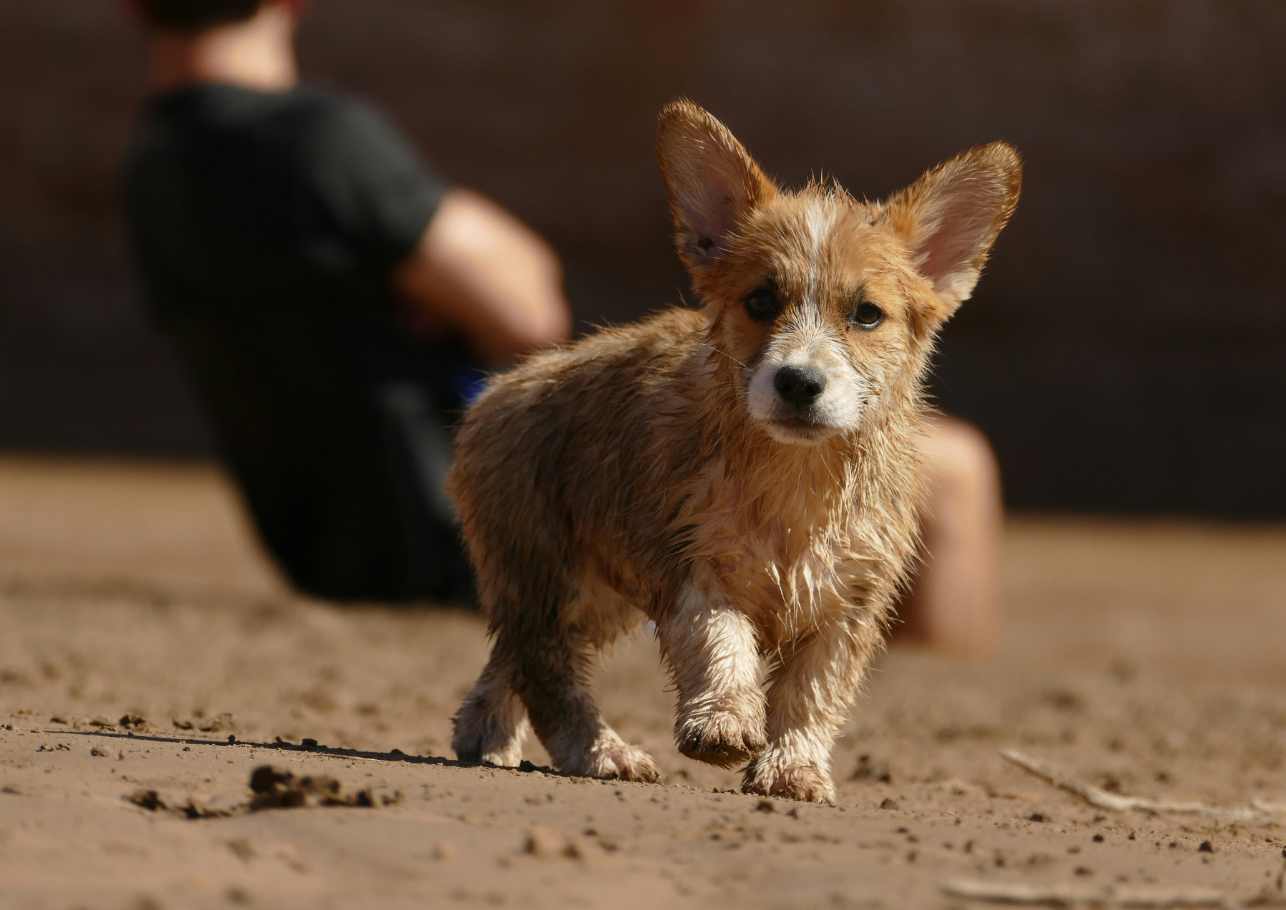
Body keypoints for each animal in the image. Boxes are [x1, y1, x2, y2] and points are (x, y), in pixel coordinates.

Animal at [447, 99, 1018, 802]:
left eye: (866, 314)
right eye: (761, 300)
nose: (798, 382)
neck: (796, 478)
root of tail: (496, 392)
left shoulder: (847, 604)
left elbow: (810, 695)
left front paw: (793, 768)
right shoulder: (694, 565)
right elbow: (721, 644)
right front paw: (722, 723)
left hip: (597, 594)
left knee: (512, 658)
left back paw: (486, 735)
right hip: (548, 573)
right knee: (545, 667)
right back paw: (599, 752)